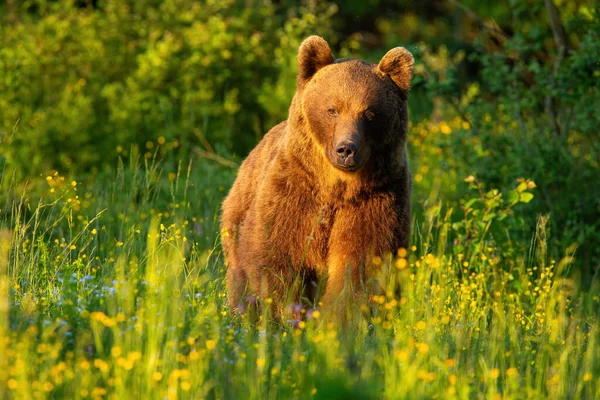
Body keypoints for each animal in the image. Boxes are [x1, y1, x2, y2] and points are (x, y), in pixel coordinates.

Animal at [220, 36, 412, 318]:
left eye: (369, 113)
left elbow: (362, 264)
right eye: (332, 109)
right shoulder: (293, 193)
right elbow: (276, 258)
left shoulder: (378, 198)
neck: (336, 186)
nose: (346, 149)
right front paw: (286, 314)